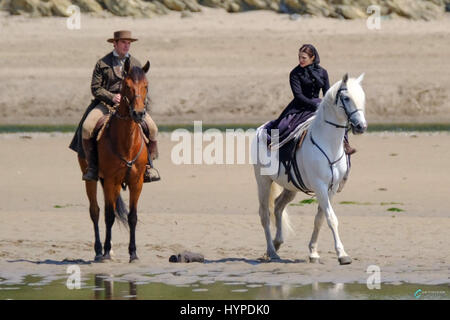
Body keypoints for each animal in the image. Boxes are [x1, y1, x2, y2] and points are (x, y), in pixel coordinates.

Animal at [78, 58, 150, 264]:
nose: (139, 114)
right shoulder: (111, 180)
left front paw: (133, 253)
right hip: (92, 179)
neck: (126, 141)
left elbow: (132, 217)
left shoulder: (136, 182)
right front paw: (106, 253)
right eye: (127, 86)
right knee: (95, 211)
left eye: (146, 86)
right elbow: (109, 216)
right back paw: (99, 251)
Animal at [251, 73, 368, 264]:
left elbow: (320, 218)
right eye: (346, 98)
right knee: (265, 215)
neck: (329, 143)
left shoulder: (331, 188)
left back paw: (277, 243)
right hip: (263, 181)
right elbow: (331, 218)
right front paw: (342, 254)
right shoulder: (320, 186)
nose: (361, 127)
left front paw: (313, 252)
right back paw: (272, 252)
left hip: (290, 186)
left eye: (362, 98)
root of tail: (261, 129)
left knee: (278, 206)